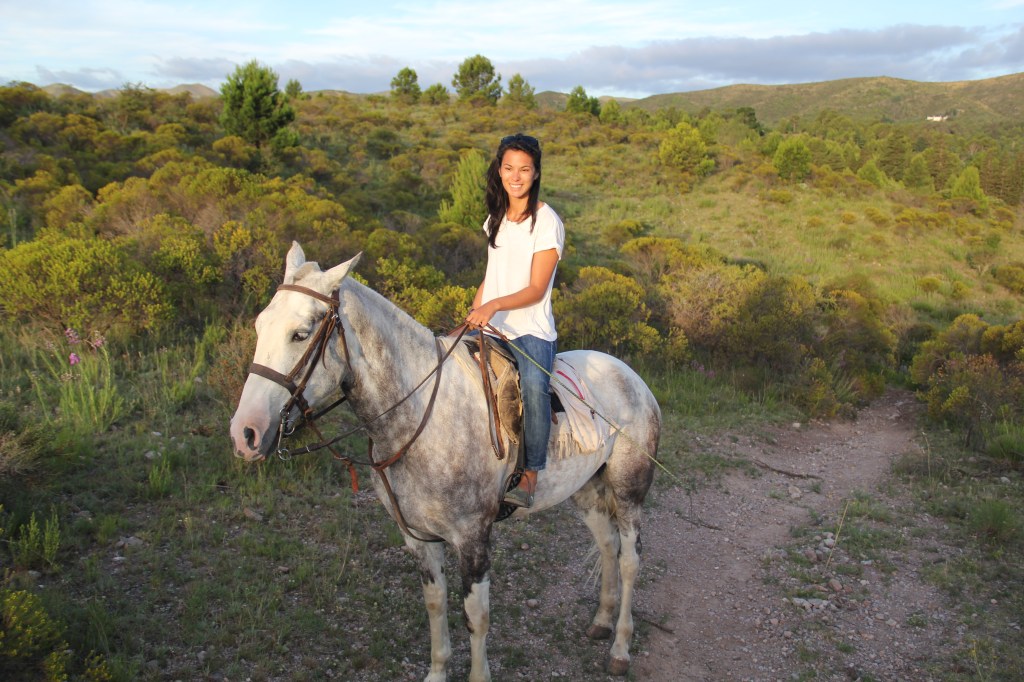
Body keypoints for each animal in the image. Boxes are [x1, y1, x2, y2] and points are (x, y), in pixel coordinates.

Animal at [229, 242, 661, 681]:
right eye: (259, 326)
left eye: (300, 334)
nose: (245, 433)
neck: (422, 415)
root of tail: (630, 376)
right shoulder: (419, 538)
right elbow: (436, 605)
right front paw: (438, 671)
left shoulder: (473, 539)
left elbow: (477, 617)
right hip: (586, 491)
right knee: (607, 545)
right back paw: (602, 621)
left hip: (628, 492)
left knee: (630, 559)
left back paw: (620, 648)